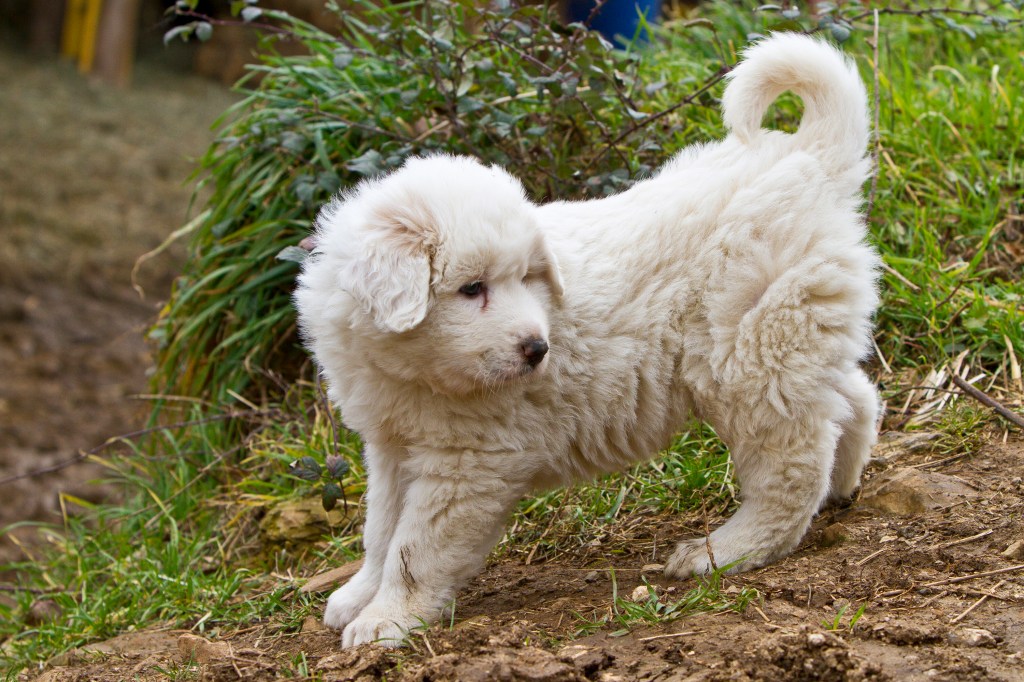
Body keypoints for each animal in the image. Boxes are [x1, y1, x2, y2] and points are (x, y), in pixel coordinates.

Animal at [296, 33, 880, 647]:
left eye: (525, 277)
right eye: (472, 288)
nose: (538, 349)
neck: (413, 370)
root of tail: (808, 159)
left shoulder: (467, 464)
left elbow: (415, 547)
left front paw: (386, 620)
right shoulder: (391, 445)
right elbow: (380, 528)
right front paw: (358, 596)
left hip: (748, 358)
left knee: (790, 467)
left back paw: (723, 550)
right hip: (791, 337)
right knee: (851, 401)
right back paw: (842, 486)